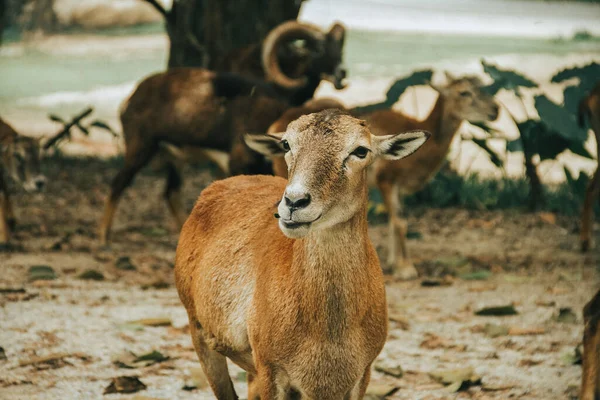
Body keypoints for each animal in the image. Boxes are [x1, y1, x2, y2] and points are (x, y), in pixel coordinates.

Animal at [176, 110, 428, 400]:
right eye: (286, 144)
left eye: (361, 150)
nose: (294, 202)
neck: (328, 335)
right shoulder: (270, 368)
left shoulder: (361, 373)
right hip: (199, 330)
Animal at [364, 72, 500, 278]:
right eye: (464, 92)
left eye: (482, 85)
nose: (495, 109)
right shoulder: (386, 179)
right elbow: (400, 222)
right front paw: (407, 269)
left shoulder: (399, 186)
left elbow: (394, 222)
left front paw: (394, 263)